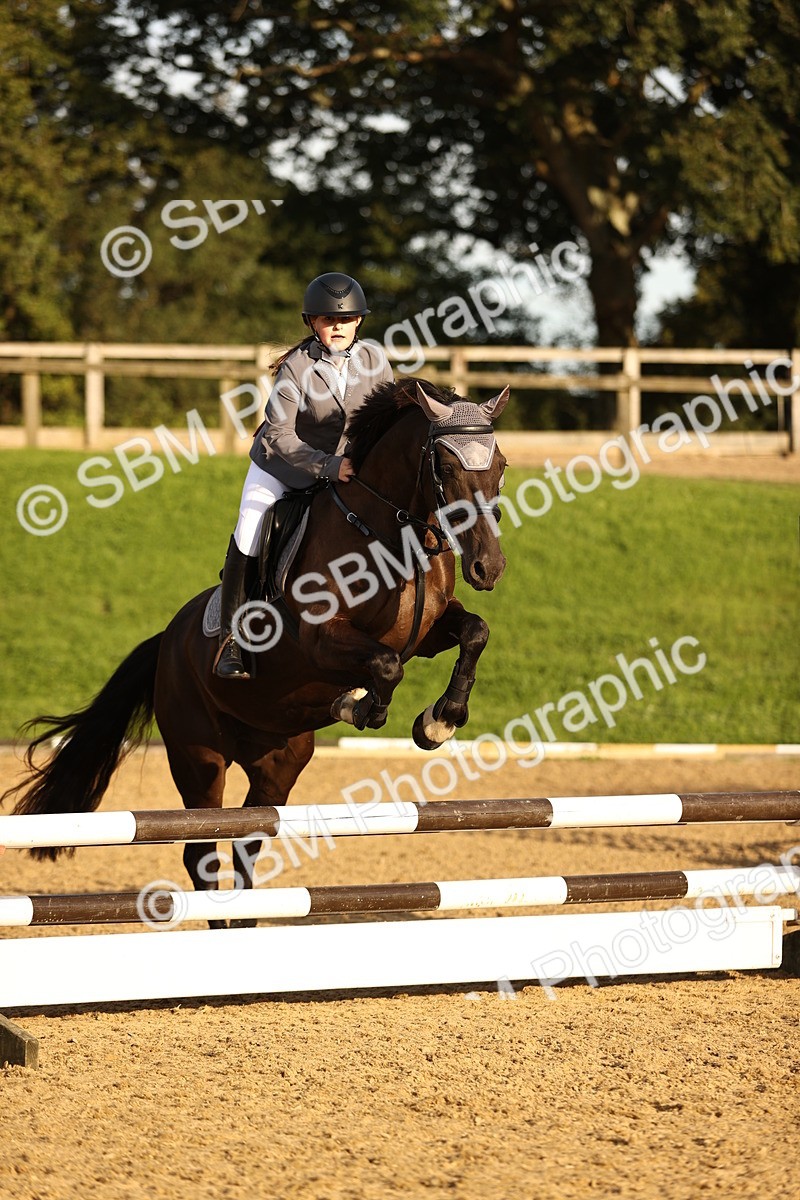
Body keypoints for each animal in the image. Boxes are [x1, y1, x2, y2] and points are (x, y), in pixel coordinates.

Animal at [5, 378, 509, 923]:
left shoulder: (428, 632)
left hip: (278, 761)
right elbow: (387, 666)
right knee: (201, 851)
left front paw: (439, 720)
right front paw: (360, 706)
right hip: (199, 758)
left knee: (247, 842)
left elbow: (474, 632)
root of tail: (167, 640)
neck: (390, 533)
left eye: (500, 465)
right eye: (447, 467)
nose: (488, 567)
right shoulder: (322, 640)